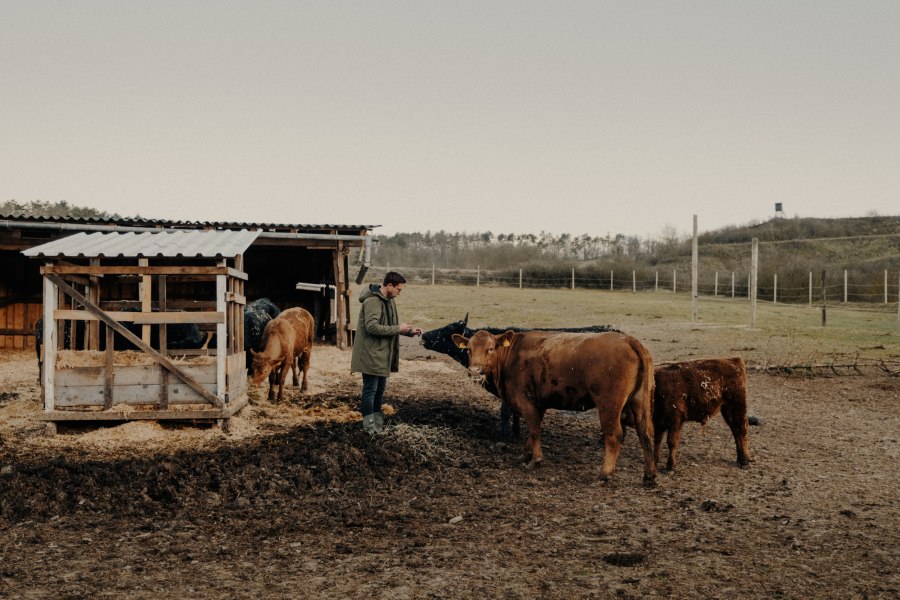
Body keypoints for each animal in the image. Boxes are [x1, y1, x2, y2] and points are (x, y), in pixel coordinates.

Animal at [454, 330, 656, 486]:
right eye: (468, 349)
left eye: (490, 348)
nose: (474, 370)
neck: (511, 356)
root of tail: (627, 340)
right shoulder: (539, 404)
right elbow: (532, 430)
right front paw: (526, 455)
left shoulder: (526, 401)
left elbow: (534, 430)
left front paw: (535, 460)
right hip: (639, 403)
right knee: (645, 434)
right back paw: (649, 475)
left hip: (608, 405)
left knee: (614, 436)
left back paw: (605, 474)